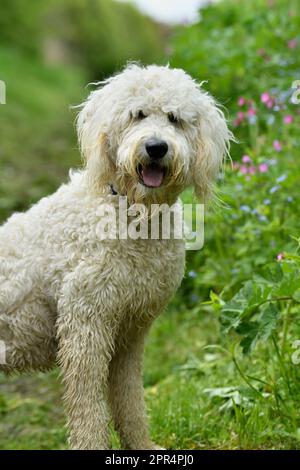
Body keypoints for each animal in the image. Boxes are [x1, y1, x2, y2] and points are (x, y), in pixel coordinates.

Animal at [0, 64, 232, 450]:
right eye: (136, 114)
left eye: (174, 118)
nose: (156, 147)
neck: (132, 213)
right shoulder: (85, 326)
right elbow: (88, 406)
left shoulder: (131, 331)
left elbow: (129, 397)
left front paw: (142, 445)